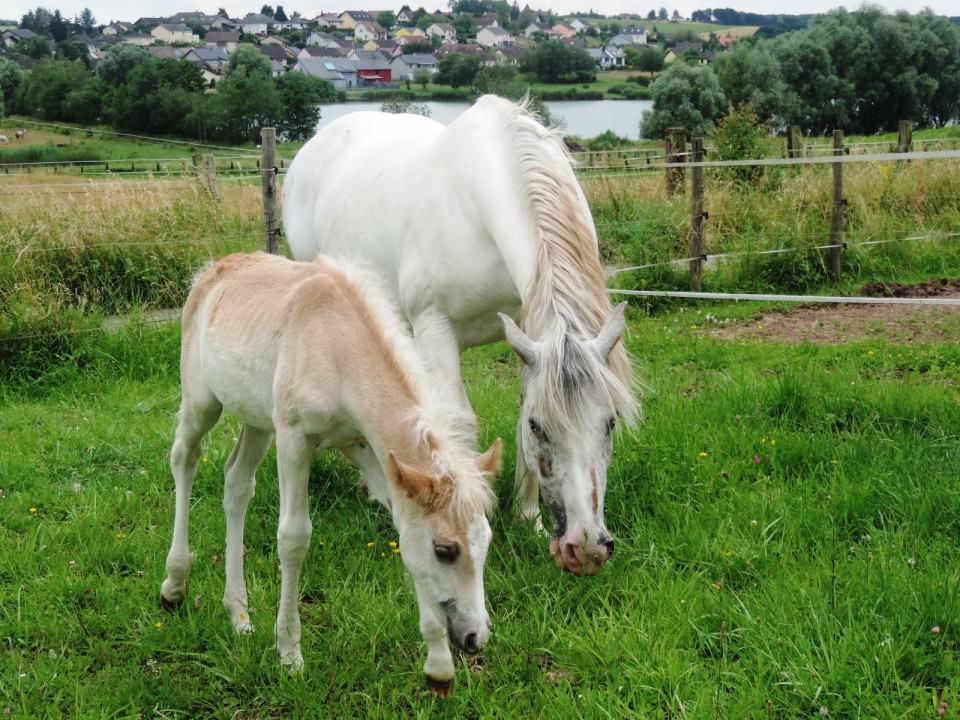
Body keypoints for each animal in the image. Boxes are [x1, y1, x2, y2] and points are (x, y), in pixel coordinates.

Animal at [159, 250, 502, 696]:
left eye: (486, 542)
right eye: (446, 550)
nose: (475, 637)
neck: (338, 346)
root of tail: (211, 271)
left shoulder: (365, 448)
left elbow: (405, 535)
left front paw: (438, 666)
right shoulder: (294, 438)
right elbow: (293, 538)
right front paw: (289, 653)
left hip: (257, 420)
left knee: (236, 484)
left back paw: (239, 614)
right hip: (203, 403)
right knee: (184, 457)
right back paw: (174, 584)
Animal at [284, 97, 636, 580]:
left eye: (611, 422)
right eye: (539, 427)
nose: (584, 550)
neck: (479, 203)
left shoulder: (526, 329)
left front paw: (527, 517)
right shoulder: (436, 327)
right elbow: (459, 420)